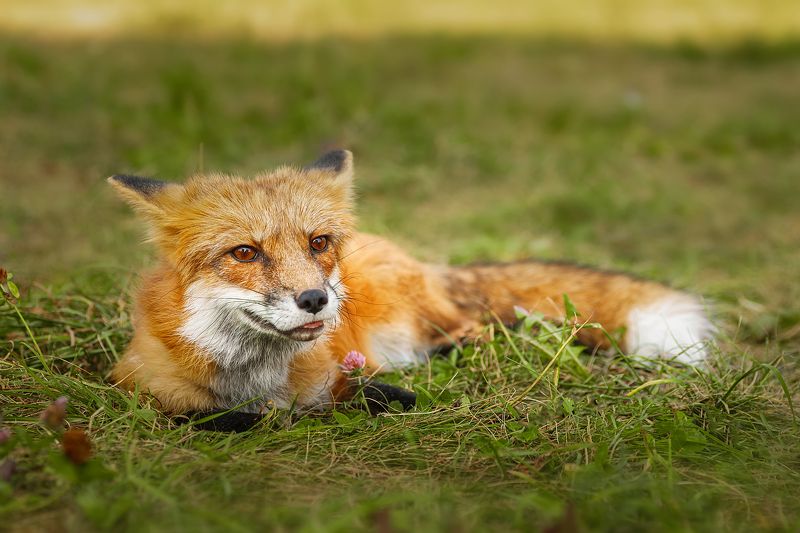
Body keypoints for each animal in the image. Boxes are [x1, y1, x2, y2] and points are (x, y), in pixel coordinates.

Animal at [109, 150, 714, 430]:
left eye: (318, 242)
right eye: (244, 253)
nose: (315, 299)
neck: (259, 378)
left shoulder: (338, 376)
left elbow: (372, 398)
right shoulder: (135, 383)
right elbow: (198, 414)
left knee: (474, 329)